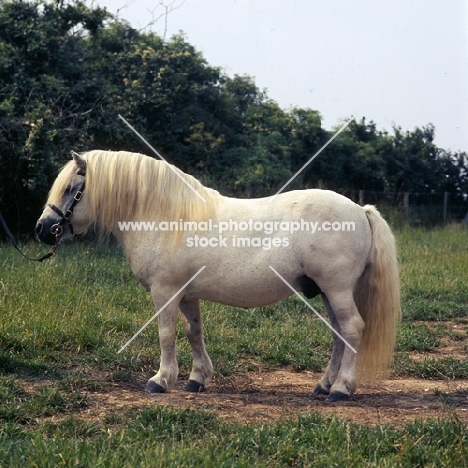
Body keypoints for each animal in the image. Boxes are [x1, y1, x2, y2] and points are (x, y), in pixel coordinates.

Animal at [37, 151, 402, 402]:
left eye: (71, 189)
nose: (42, 230)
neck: (163, 215)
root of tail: (360, 210)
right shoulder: (187, 294)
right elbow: (193, 333)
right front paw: (197, 378)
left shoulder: (165, 292)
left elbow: (166, 335)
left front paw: (160, 380)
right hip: (326, 291)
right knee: (338, 334)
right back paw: (324, 385)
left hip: (336, 289)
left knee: (351, 329)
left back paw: (341, 388)